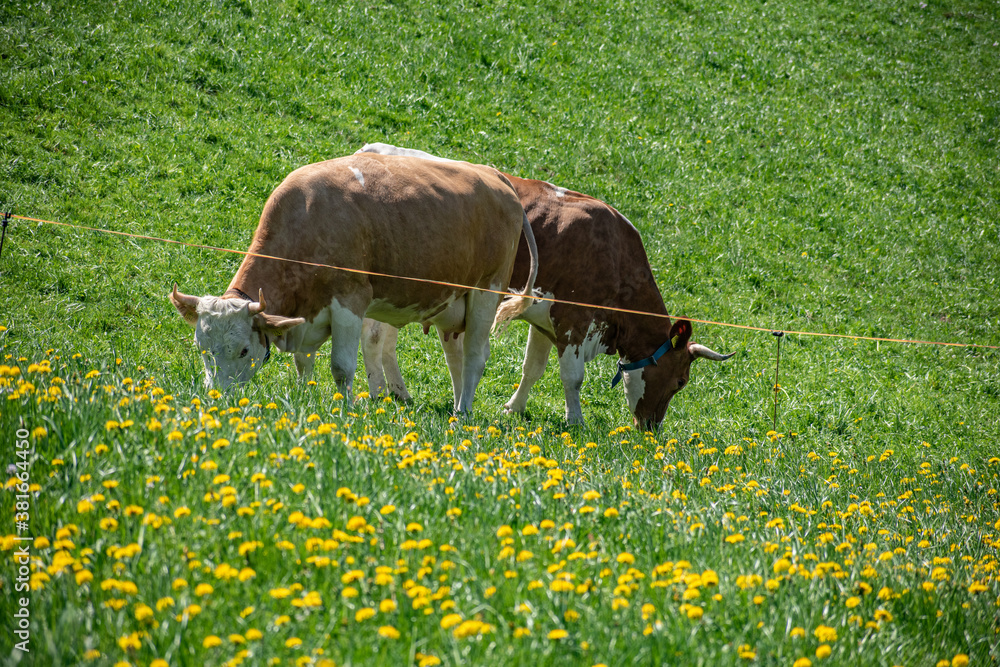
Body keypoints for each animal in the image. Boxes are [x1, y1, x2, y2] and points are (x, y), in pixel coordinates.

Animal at [168, 152, 536, 414]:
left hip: (486, 294)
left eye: (244, 349)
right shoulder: (306, 317)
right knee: (455, 356)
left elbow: (341, 368)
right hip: (453, 304)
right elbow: (303, 362)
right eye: (202, 348)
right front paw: (304, 398)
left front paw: (346, 410)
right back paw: (459, 406)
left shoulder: (349, 301)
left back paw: (463, 416)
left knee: (475, 356)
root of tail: (493, 174)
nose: (217, 397)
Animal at [356, 144, 732, 430]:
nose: (652, 427)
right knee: (374, 337)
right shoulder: (573, 319)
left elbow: (533, 368)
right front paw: (575, 420)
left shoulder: (546, 320)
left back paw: (399, 392)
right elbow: (572, 376)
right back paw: (383, 393)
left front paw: (514, 407)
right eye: (681, 381)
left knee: (385, 340)